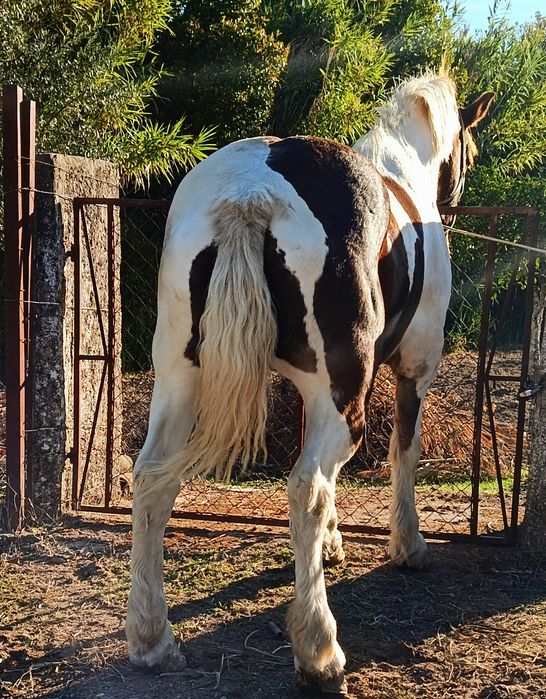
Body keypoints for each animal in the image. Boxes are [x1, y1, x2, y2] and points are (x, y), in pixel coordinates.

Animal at [125, 73, 494, 694]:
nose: (450, 206)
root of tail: (250, 192)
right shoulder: (413, 370)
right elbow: (404, 453)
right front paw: (408, 544)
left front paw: (333, 543)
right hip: (342, 400)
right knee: (308, 487)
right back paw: (320, 650)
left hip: (179, 377)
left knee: (153, 479)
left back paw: (152, 640)